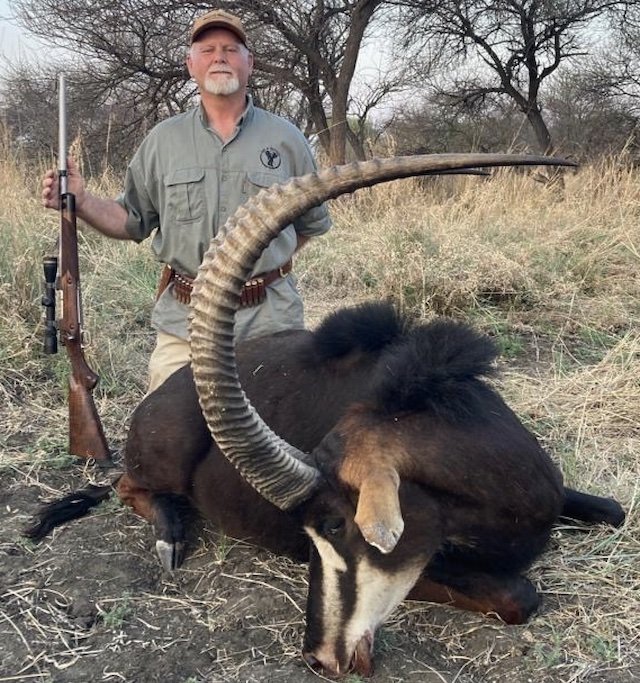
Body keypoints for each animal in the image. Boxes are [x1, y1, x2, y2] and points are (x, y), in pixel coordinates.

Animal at [27, 155, 624, 680]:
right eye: (308, 536)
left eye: (336, 524)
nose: (319, 657)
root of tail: (165, 389)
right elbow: (520, 593)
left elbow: (614, 511)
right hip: (162, 459)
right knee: (126, 484)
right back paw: (172, 534)